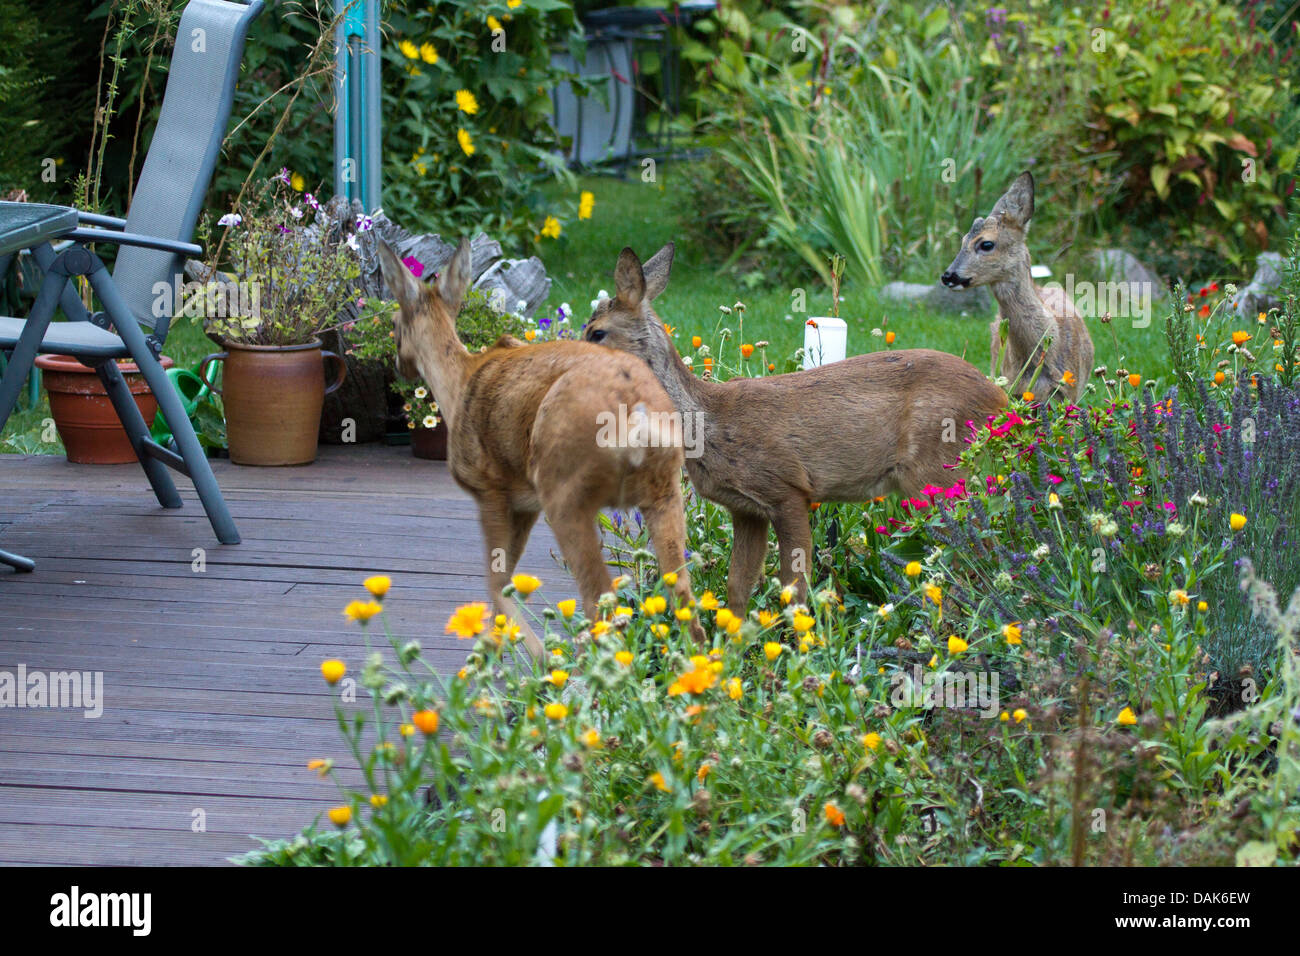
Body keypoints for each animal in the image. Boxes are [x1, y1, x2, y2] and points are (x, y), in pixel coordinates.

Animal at [377, 238, 707, 665]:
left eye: (394, 324)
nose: (398, 365)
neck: (459, 381)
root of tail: (634, 408)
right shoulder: (525, 504)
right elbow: (501, 582)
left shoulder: (490, 488)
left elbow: (497, 582)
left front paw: (529, 660)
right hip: (663, 489)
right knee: (683, 598)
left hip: (563, 491)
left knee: (599, 600)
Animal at [585, 243, 1008, 608]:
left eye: (597, 332)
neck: (709, 422)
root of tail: (999, 396)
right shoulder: (746, 508)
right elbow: (738, 586)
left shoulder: (786, 487)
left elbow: (794, 587)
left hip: (936, 467)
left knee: (975, 548)